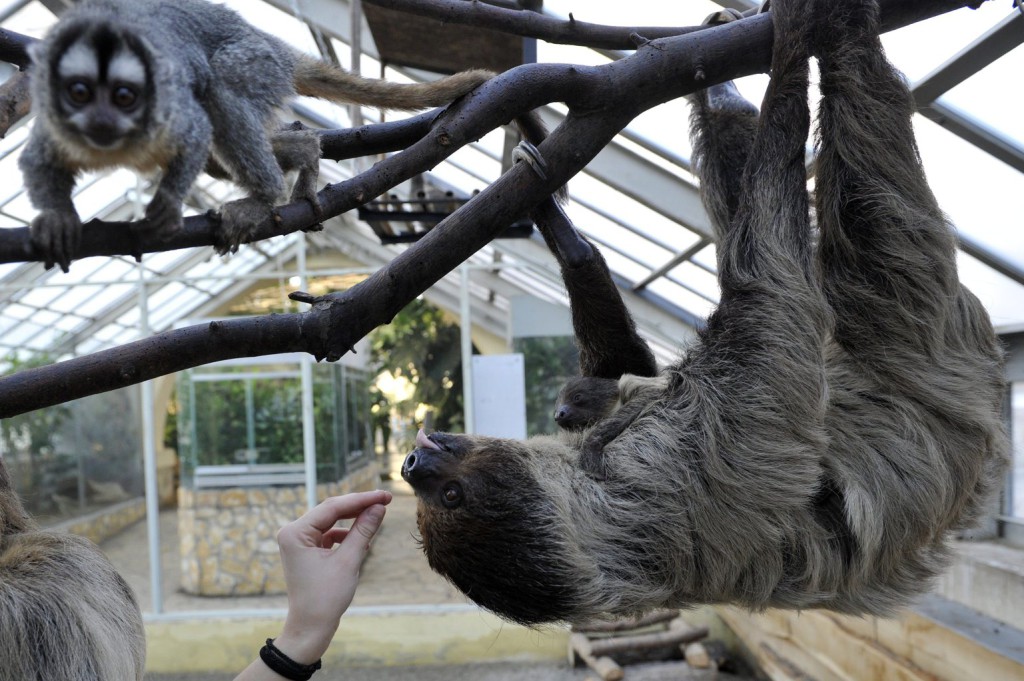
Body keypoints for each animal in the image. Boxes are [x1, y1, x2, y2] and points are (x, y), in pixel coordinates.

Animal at [19, 0, 518, 272]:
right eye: (80, 93)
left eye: (124, 96)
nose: (101, 119)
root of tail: (274, 43)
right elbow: (34, 162)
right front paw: (58, 220)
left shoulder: (167, 105)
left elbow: (198, 129)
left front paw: (166, 208)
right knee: (219, 156)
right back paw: (305, 152)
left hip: (258, 64)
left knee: (220, 93)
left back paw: (266, 196)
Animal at [400, 0, 1009, 627]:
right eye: (448, 498)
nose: (413, 466)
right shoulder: (685, 452)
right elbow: (767, 307)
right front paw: (792, 50)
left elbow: (622, 363)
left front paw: (543, 201)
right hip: (931, 364)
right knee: (865, 203)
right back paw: (829, 30)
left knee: (750, 192)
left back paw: (725, 84)